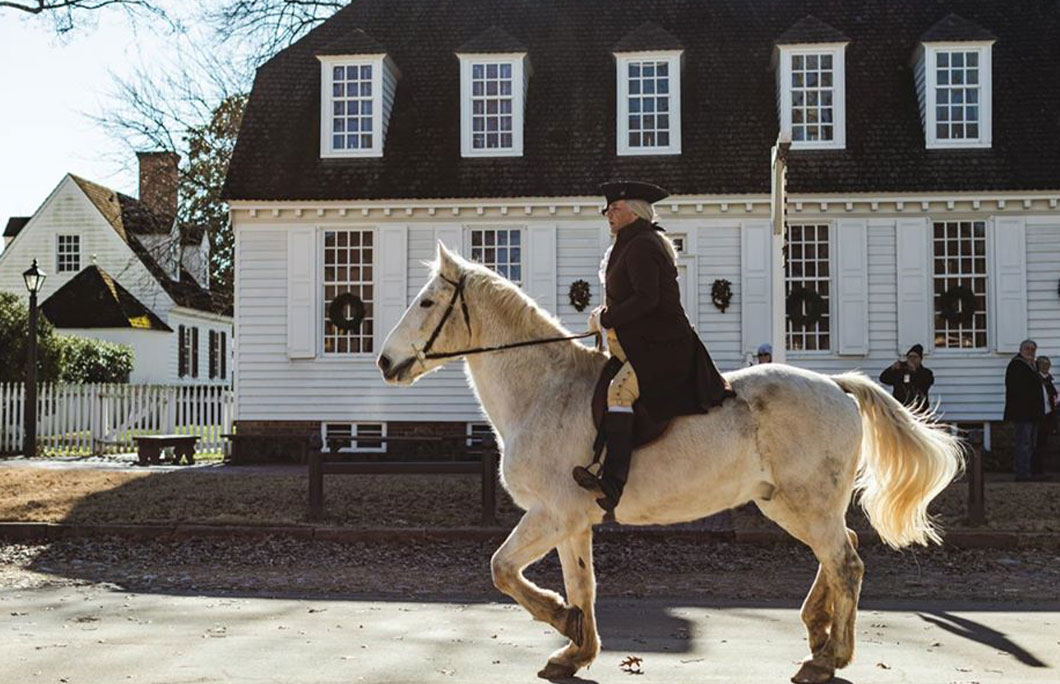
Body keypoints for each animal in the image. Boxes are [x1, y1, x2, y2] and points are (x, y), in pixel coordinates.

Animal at [379, 244, 962, 682]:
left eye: (427, 302)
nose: (385, 362)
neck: (544, 390)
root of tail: (837, 386)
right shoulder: (572, 522)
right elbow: (582, 584)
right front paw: (576, 647)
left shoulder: (552, 514)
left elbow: (502, 568)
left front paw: (562, 621)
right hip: (791, 505)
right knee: (844, 552)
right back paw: (817, 631)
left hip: (808, 504)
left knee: (846, 563)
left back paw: (829, 657)